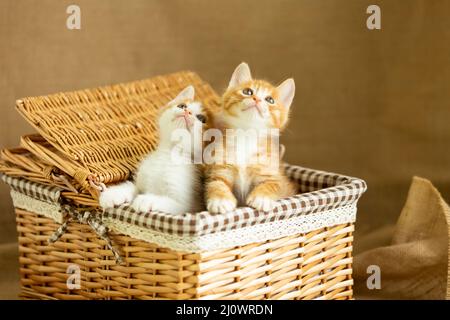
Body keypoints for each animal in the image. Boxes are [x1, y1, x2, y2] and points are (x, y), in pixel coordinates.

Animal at [99, 85, 205, 215]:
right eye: (181, 105)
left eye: (202, 118)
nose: (187, 111)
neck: (170, 152)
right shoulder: (141, 182)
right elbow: (134, 187)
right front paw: (113, 194)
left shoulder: (188, 206)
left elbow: (170, 202)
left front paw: (146, 200)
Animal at [206, 62, 298, 214]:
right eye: (248, 91)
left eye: (270, 100)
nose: (257, 99)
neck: (246, 136)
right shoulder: (221, 166)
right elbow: (216, 182)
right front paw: (220, 200)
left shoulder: (274, 174)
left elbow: (272, 184)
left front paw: (261, 198)